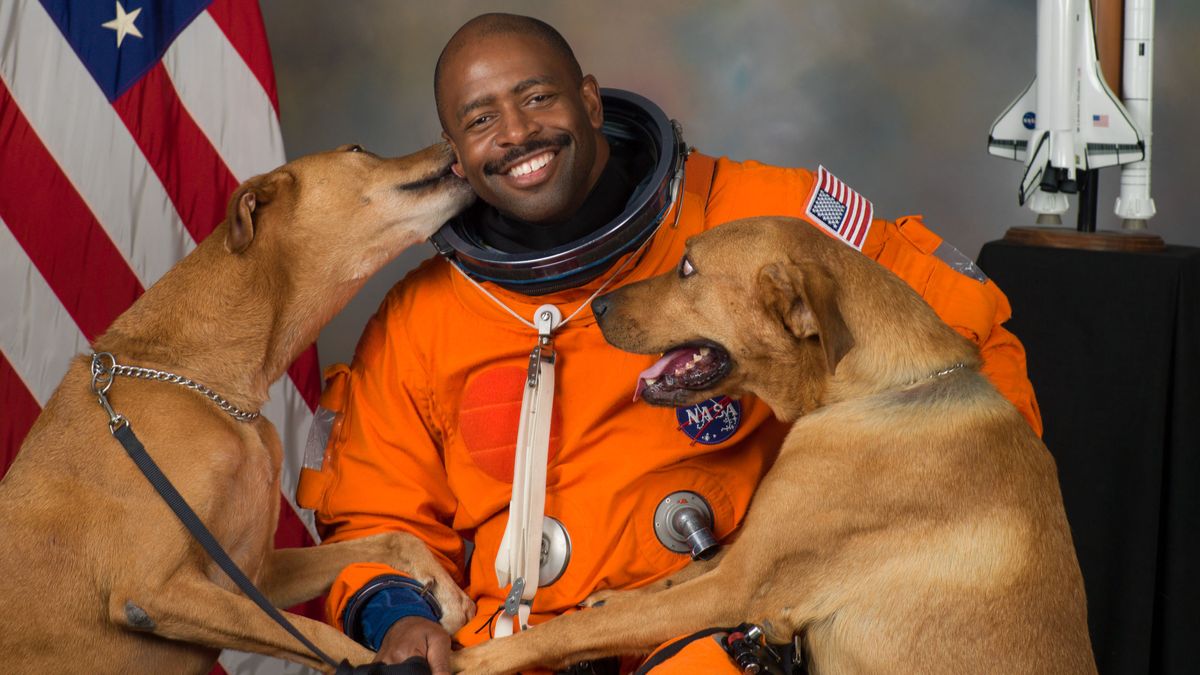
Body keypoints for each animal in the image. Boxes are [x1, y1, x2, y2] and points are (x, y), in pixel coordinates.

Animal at [0, 142, 477, 672]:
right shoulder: (153, 590)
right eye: (356, 149)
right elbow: (325, 638)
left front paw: (444, 590)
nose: (449, 142)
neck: (208, 385)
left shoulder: (256, 575)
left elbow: (393, 536)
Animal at [451, 214, 1099, 672]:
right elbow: (666, 581)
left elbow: (574, 629)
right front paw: (611, 599)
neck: (872, 389)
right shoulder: (742, 555)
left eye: (687, 268)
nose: (600, 304)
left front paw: (480, 659)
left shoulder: (737, 589)